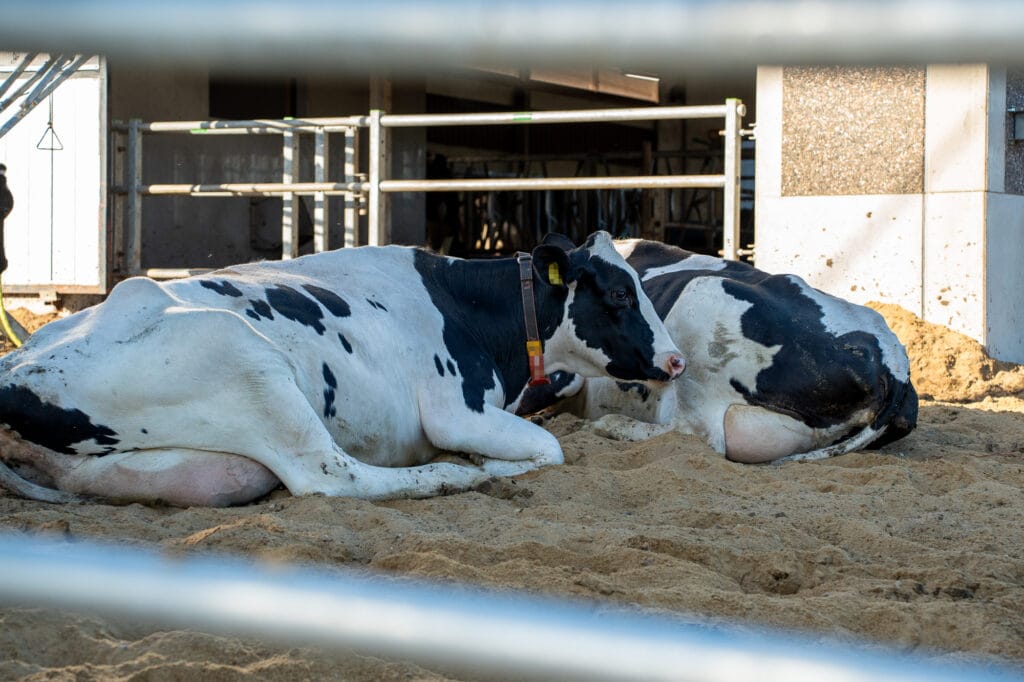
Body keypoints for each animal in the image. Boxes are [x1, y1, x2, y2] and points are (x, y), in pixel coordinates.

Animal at [2, 233, 688, 503]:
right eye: (620, 293)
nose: (677, 358)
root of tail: (20, 368)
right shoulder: (454, 412)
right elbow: (551, 450)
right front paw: (486, 464)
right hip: (249, 362)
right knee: (334, 477)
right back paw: (454, 475)